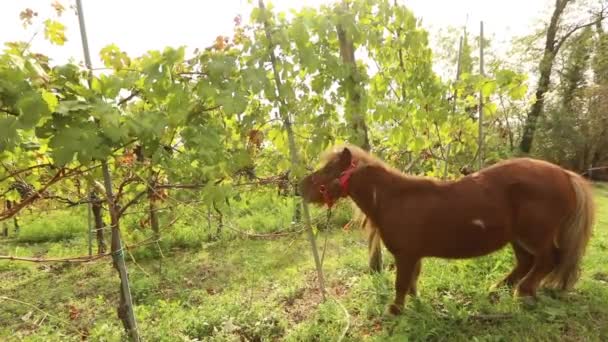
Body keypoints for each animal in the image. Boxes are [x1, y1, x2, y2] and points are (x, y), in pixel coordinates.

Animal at [300, 144, 592, 316]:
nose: (301, 187)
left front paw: (395, 310)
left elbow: (401, 283)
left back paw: (523, 291)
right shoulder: (414, 255)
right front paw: (415, 304)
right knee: (527, 262)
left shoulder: (405, 255)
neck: (394, 198)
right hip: (518, 239)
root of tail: (567, 175)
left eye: (329, 169)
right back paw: (499, 289)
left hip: (535, 236)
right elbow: (412, 282)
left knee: (547, 260)